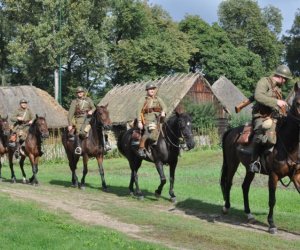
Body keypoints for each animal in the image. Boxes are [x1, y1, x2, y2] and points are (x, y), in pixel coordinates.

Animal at [220, 83, 300, 233]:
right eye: (298, 102)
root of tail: (232, 131)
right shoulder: (273, 176)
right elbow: (272, 200)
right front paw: (272, 224)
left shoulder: (296, 175)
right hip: (232, 164)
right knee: (228, 183)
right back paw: (226, 207)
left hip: (249, 169)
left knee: (245, 187)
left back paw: (249, 214)